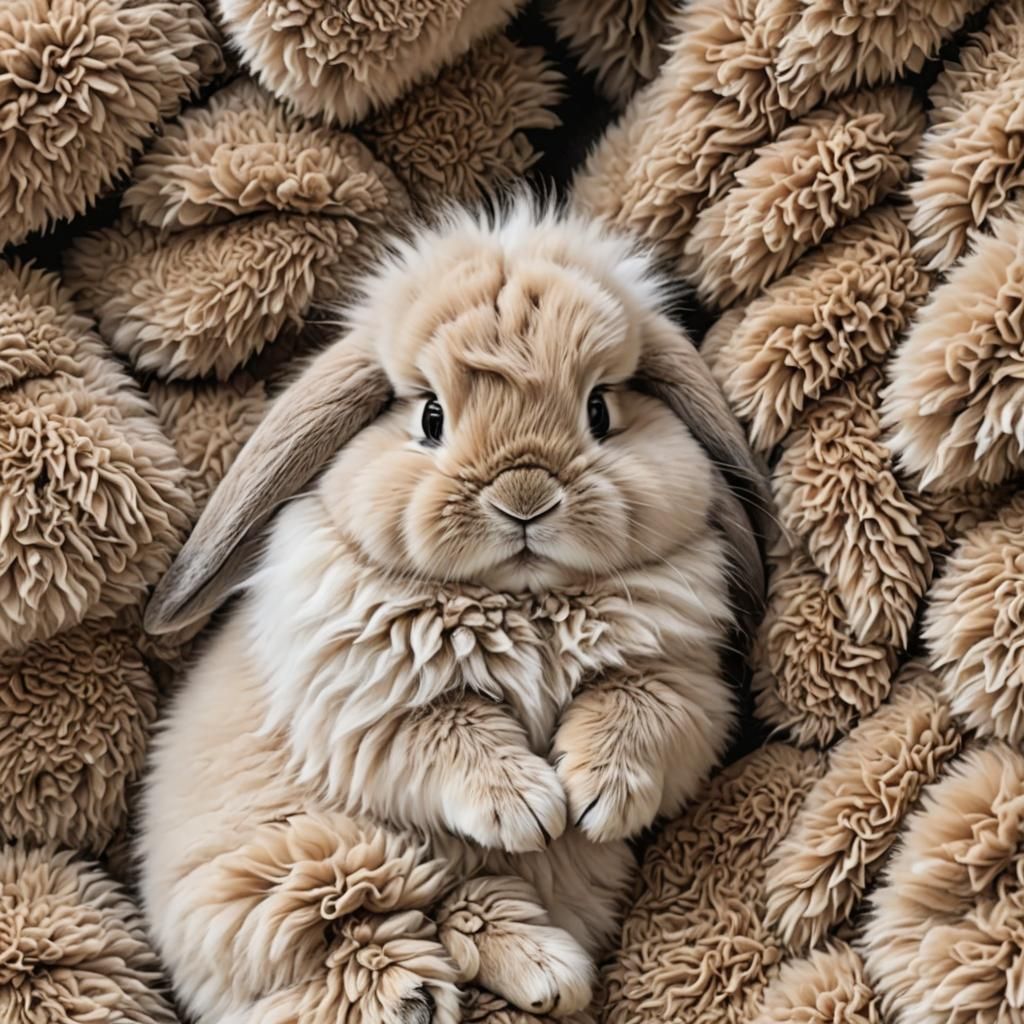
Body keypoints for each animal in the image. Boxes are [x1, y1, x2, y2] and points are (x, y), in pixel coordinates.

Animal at [138, 198, 772, 1024]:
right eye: (431, 416)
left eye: (600, 409)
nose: (525, 497)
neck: (522, 600)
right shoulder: (374, 710)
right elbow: (458, 736)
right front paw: (534, 811)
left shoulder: (681, 684)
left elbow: (629, 713)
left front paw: (595, 803)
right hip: (307, 866)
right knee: (374, 935)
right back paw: (423, 995)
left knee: (465, 905)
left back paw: (553, 977)